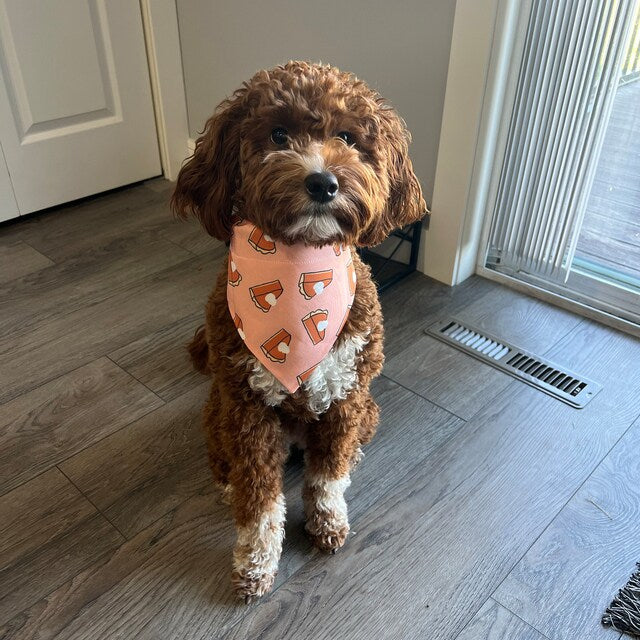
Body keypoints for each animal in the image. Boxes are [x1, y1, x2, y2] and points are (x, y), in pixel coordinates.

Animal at [172, 60, 428, 600]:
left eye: (348, 138)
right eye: (278, 134)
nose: (323, 183)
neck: (297, 269)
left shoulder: (347, 397)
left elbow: (326, 477)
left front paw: (327, 522)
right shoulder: (247, 410)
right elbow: (260, 500)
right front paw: (255, 564)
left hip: (369, 409)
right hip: (217, 410)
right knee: (226, 460)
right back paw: (226, 482)